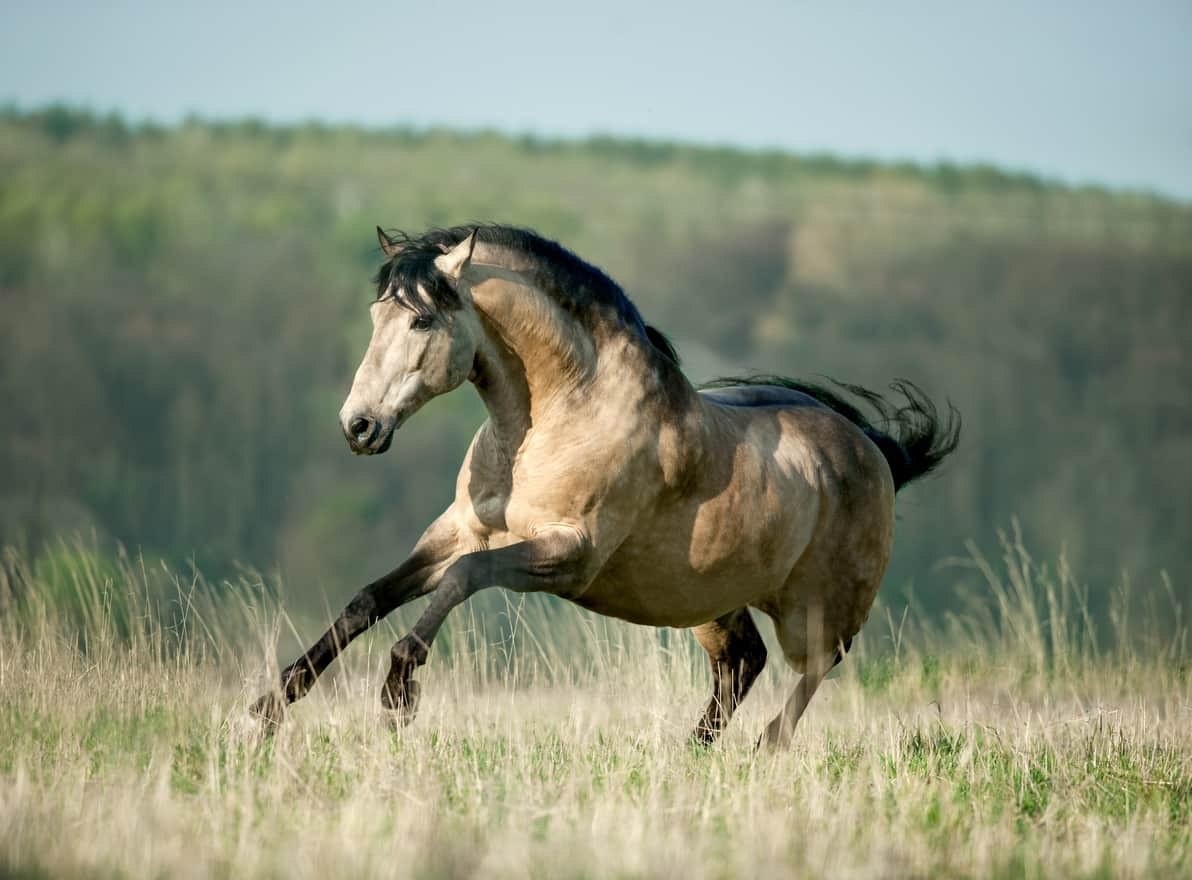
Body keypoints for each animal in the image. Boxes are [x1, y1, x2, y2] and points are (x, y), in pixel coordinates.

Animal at [251, 222, 958, 744]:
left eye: (422, 322)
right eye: (377, 315)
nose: (358, 426)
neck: (558, 414)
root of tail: (875, 452)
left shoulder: (569, 555)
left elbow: (464, 579)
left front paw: (398, 690)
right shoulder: (457, 531)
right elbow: (368, 598)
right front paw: (271, 705)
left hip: (814, 612)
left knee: (812, 671)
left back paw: (762, 750)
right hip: (708, 601)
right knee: (741, 664)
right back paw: (695, 753)